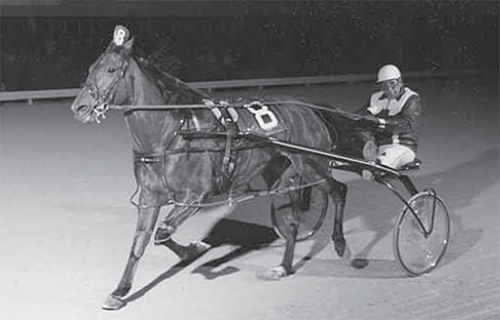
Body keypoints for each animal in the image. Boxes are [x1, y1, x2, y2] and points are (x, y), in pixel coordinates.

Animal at [70, 26, 350, 312]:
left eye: (112, 69)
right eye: (91, 68)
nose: (79, 107)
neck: (172, 135)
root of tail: (310, 110)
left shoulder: (197, 195)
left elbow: (162, 231)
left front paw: (193, 251)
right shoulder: (150, 196)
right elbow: (142, 240)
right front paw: (121, 290)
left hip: (312, 166)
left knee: (338, 190)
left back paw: (340, 244)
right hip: (277, 174)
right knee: (292, 222)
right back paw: (283, 266)